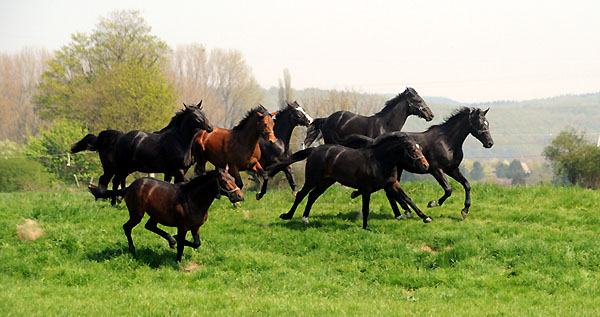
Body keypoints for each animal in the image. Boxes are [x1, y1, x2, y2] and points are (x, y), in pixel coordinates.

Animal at [88, 167, 241, 260]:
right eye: (224, 181)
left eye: (233, 179)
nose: (239, 196)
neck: (193, 198)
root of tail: (130, 186)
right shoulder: (182, 227)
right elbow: (182, 244)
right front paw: (177, 259)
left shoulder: (195, 226)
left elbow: (197, 243)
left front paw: (175, 241)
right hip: (137, 213)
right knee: (127, 227)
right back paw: (132, 249)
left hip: (156, 214)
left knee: (149, 226)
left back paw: (170, 241)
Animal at [268, 132, 432, 228]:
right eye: (412, 149)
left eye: (420, 148)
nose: (426, 165)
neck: (379, 161)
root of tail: (314, 150)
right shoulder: (366, 189)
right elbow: (365, 208)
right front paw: (366, 227)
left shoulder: (392, 184)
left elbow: (408, 199)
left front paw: (425, 217)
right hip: (312, 179)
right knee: (302, 195)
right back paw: (287, 216)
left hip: (326, 182)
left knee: (312, 196)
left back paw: (305, 219)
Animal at [346, 107, 492, 218]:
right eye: (480, 123)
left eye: (488, 123)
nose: (490, 143)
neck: (447, 142)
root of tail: (374, 141)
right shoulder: (436, 170)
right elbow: (448, 189)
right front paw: (433, 203)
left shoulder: (452, 169)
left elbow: (467, 185)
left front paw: (464, 211)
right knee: (388, 190)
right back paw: (403, 211)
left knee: (389, 190)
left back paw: (403, 211)